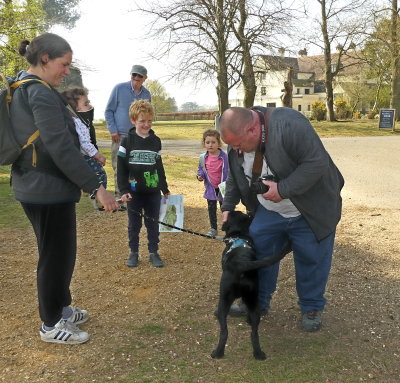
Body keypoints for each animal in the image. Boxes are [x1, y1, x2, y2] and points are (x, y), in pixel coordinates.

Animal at [212, 212, 290, 362]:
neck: (238, 234)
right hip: (253, 300)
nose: (250, 213)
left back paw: (217, 352)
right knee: (254, 333)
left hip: (224, 299)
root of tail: (241, 263)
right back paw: (258, 353)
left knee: (224, 331)